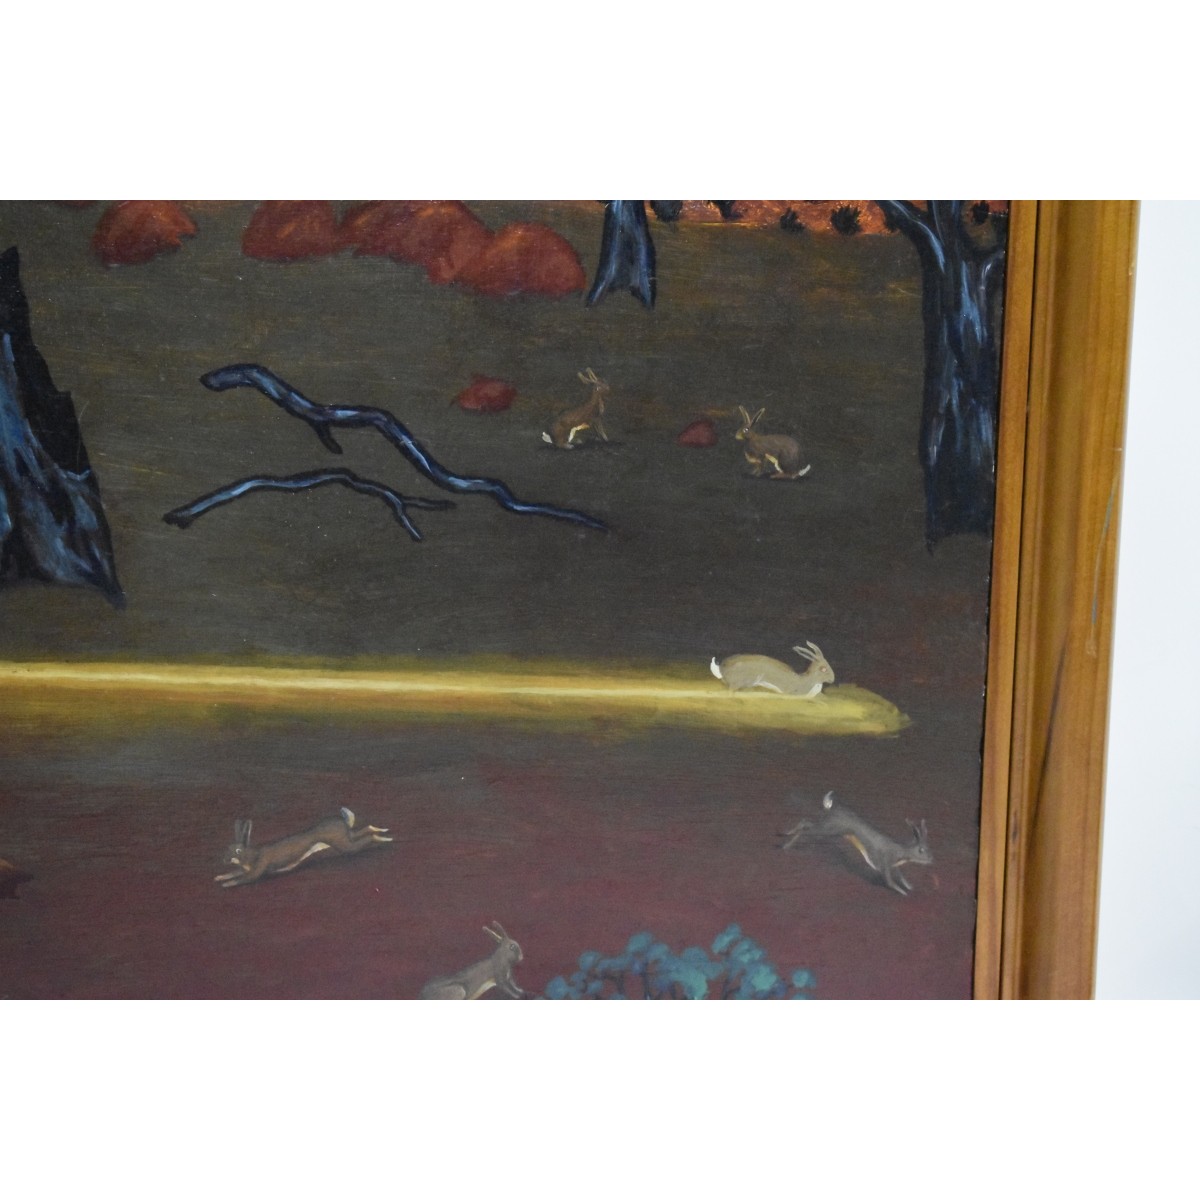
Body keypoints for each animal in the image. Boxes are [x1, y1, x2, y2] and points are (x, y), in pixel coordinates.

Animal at [214, 806, 392, 888]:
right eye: (227, 848)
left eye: (237, 850)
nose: (224, 860)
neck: (250, 854)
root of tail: (343, 819)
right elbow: (233, 872)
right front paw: (219, 877)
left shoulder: (257, 869)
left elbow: (244, 878)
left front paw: (226, 884)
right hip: (347, 838)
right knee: (366, 829)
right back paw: (384, 832)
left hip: (344, 845)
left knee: (366, 839)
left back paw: (385, 838)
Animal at [781, 791, 932, 896]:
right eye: (921, 850)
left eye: (928, 848)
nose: (931, 860)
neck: (901, 852)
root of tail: (830, 807)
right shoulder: (885, 862)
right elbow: (890, 882)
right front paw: (903, 892)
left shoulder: (893, 865)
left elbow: (901, 876)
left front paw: (910, 886)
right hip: (830, 829)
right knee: (806, 826)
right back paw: (786, 844)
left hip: (828, 826)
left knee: (805, 822)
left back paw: (786, 835)